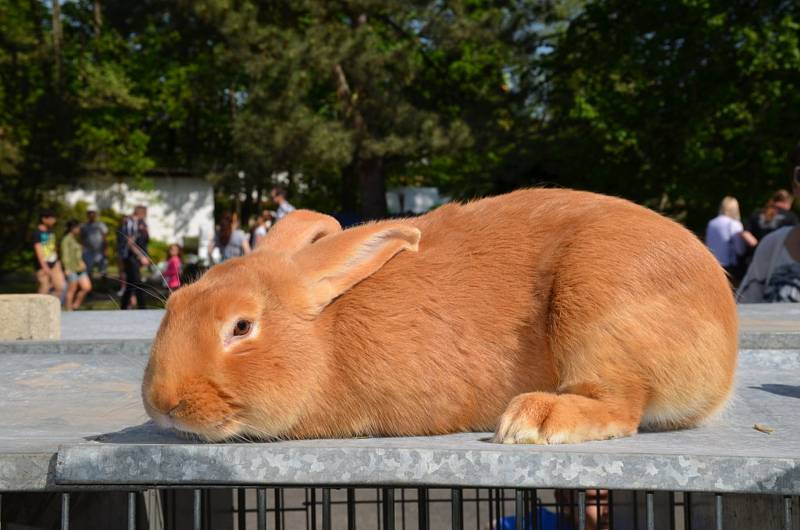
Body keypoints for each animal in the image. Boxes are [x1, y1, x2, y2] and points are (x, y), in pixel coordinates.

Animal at [142, 189, 736, 442]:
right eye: (172, 307)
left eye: (241, 327)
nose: (163, 403)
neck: (326, 340)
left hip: (597, 312)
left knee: (619, 406)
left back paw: (534, 420)